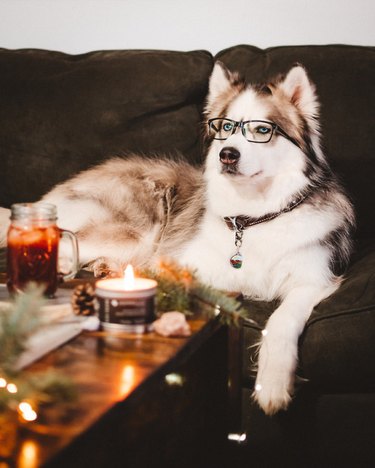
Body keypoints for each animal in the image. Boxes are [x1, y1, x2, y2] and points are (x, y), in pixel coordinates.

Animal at [0, 61, 356, 414]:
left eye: (262, 130)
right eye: (226, 127)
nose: (227, 155)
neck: (253, 219)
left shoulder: (314, 280)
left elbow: (283, 319)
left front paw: (273, 383)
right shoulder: (178, 260)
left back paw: (104, 269)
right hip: (134, 232)